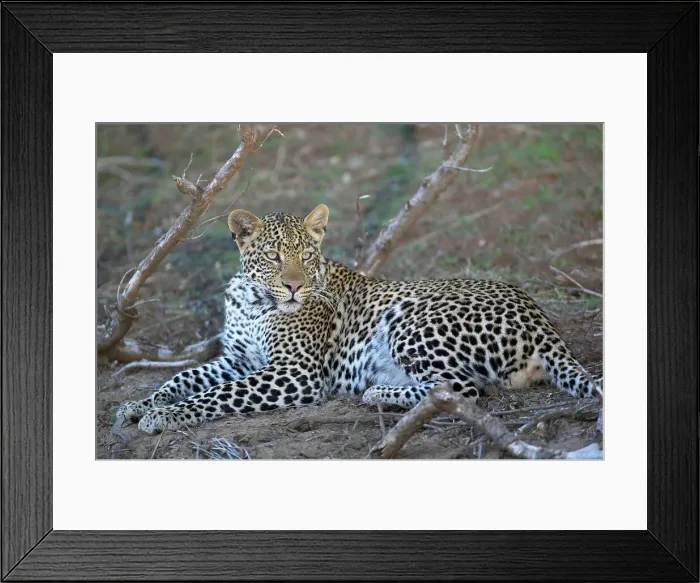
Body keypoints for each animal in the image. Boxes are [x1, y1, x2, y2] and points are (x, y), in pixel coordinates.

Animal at [116, 203, 603, 435]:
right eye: (273, 257)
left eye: (306, 255)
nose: (293, 287)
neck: (254, 300)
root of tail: (540, 317)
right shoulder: (237, 359)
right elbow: (185, 378)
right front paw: (139, 405)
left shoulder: (295, 373)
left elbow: (217, 394)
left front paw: (164, 417)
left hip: (413, 321)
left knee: (463, 390)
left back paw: (376, 391)